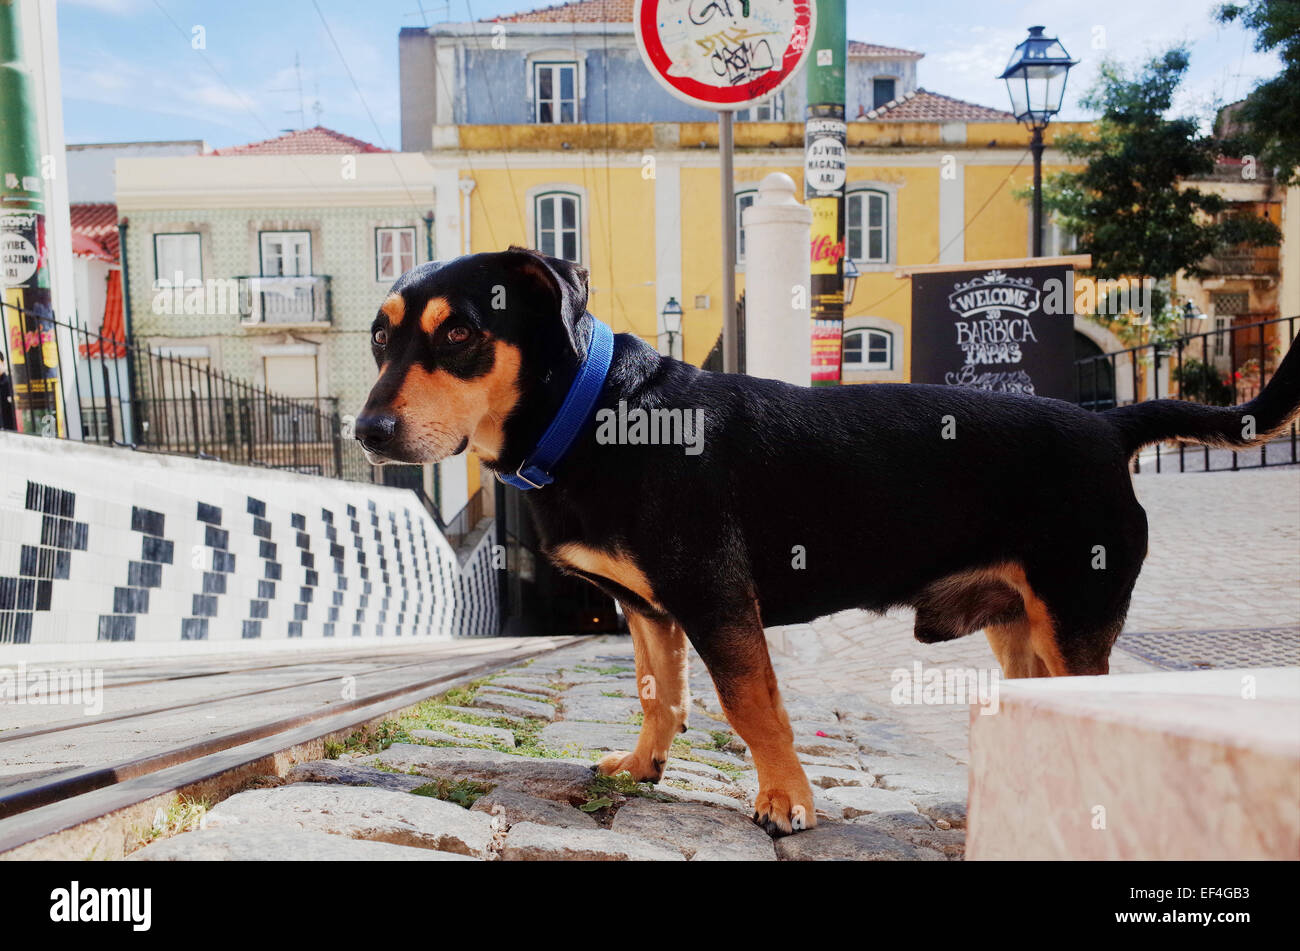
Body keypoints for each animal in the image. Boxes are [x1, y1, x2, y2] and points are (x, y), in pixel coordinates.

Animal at [358, 249, 1300, 836]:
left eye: (460, 333)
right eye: (379, 334)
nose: (366, 431)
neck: (593, 412)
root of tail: (1110, 426)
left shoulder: (717, 601)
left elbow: (751, 705)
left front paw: (786, 799)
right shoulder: (649, 611)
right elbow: (660, 697)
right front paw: (642, 764)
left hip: (1072, 624)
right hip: (1022, 632)